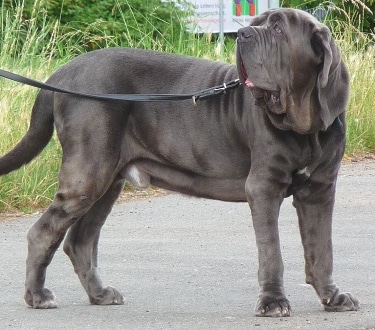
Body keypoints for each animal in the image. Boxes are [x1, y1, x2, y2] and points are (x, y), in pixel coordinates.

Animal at [0, 9, 360, 316]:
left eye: (278, 30)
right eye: (256, 23)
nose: (243, 34)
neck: (305, 126)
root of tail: (62, 74)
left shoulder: (320, 190)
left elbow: (321, 249)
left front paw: (332, 297)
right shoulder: (264, 186)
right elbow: (272, 252)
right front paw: (273, 302)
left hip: (107, 181)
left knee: (80, 241)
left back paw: (100, 294)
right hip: (88, 175)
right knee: (42, 233)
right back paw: (37, 296)